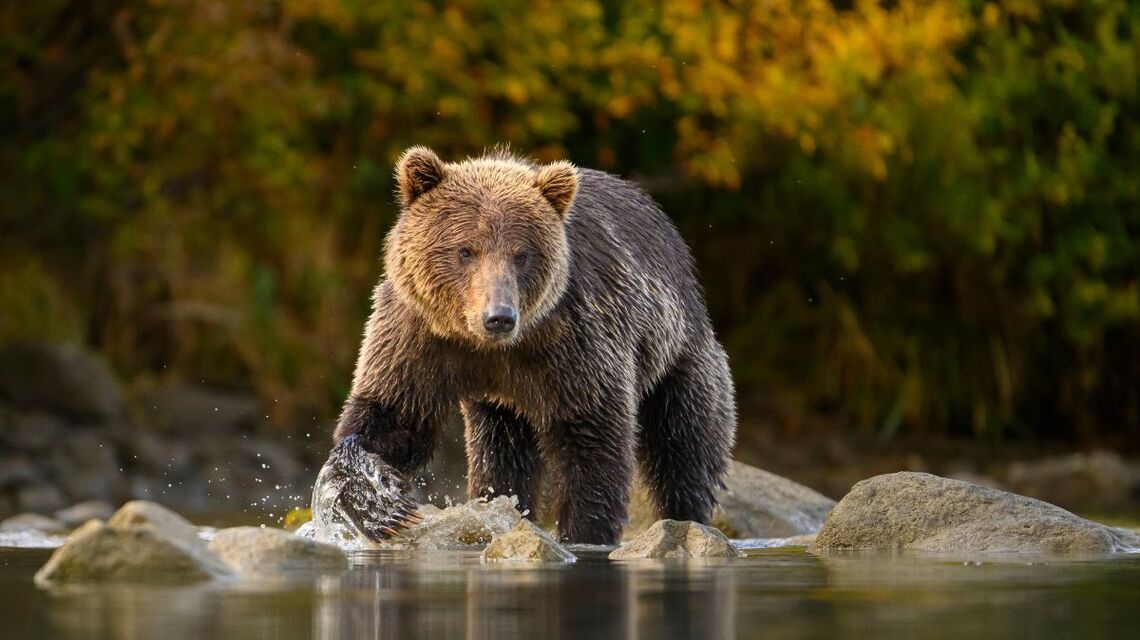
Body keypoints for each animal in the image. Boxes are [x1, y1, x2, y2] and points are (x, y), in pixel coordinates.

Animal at [319, 146, 736, 545]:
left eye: (521, 254)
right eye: (465, 250)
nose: (499, 316)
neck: (488, 347)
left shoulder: (576, 341)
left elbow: (592, 440)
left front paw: (584, 535)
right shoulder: (419, 335)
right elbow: (395, 415)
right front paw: (381, 504)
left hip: (679, 352)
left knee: (684, 445)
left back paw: (688, 515)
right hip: (501, 406)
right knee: (500, 454)